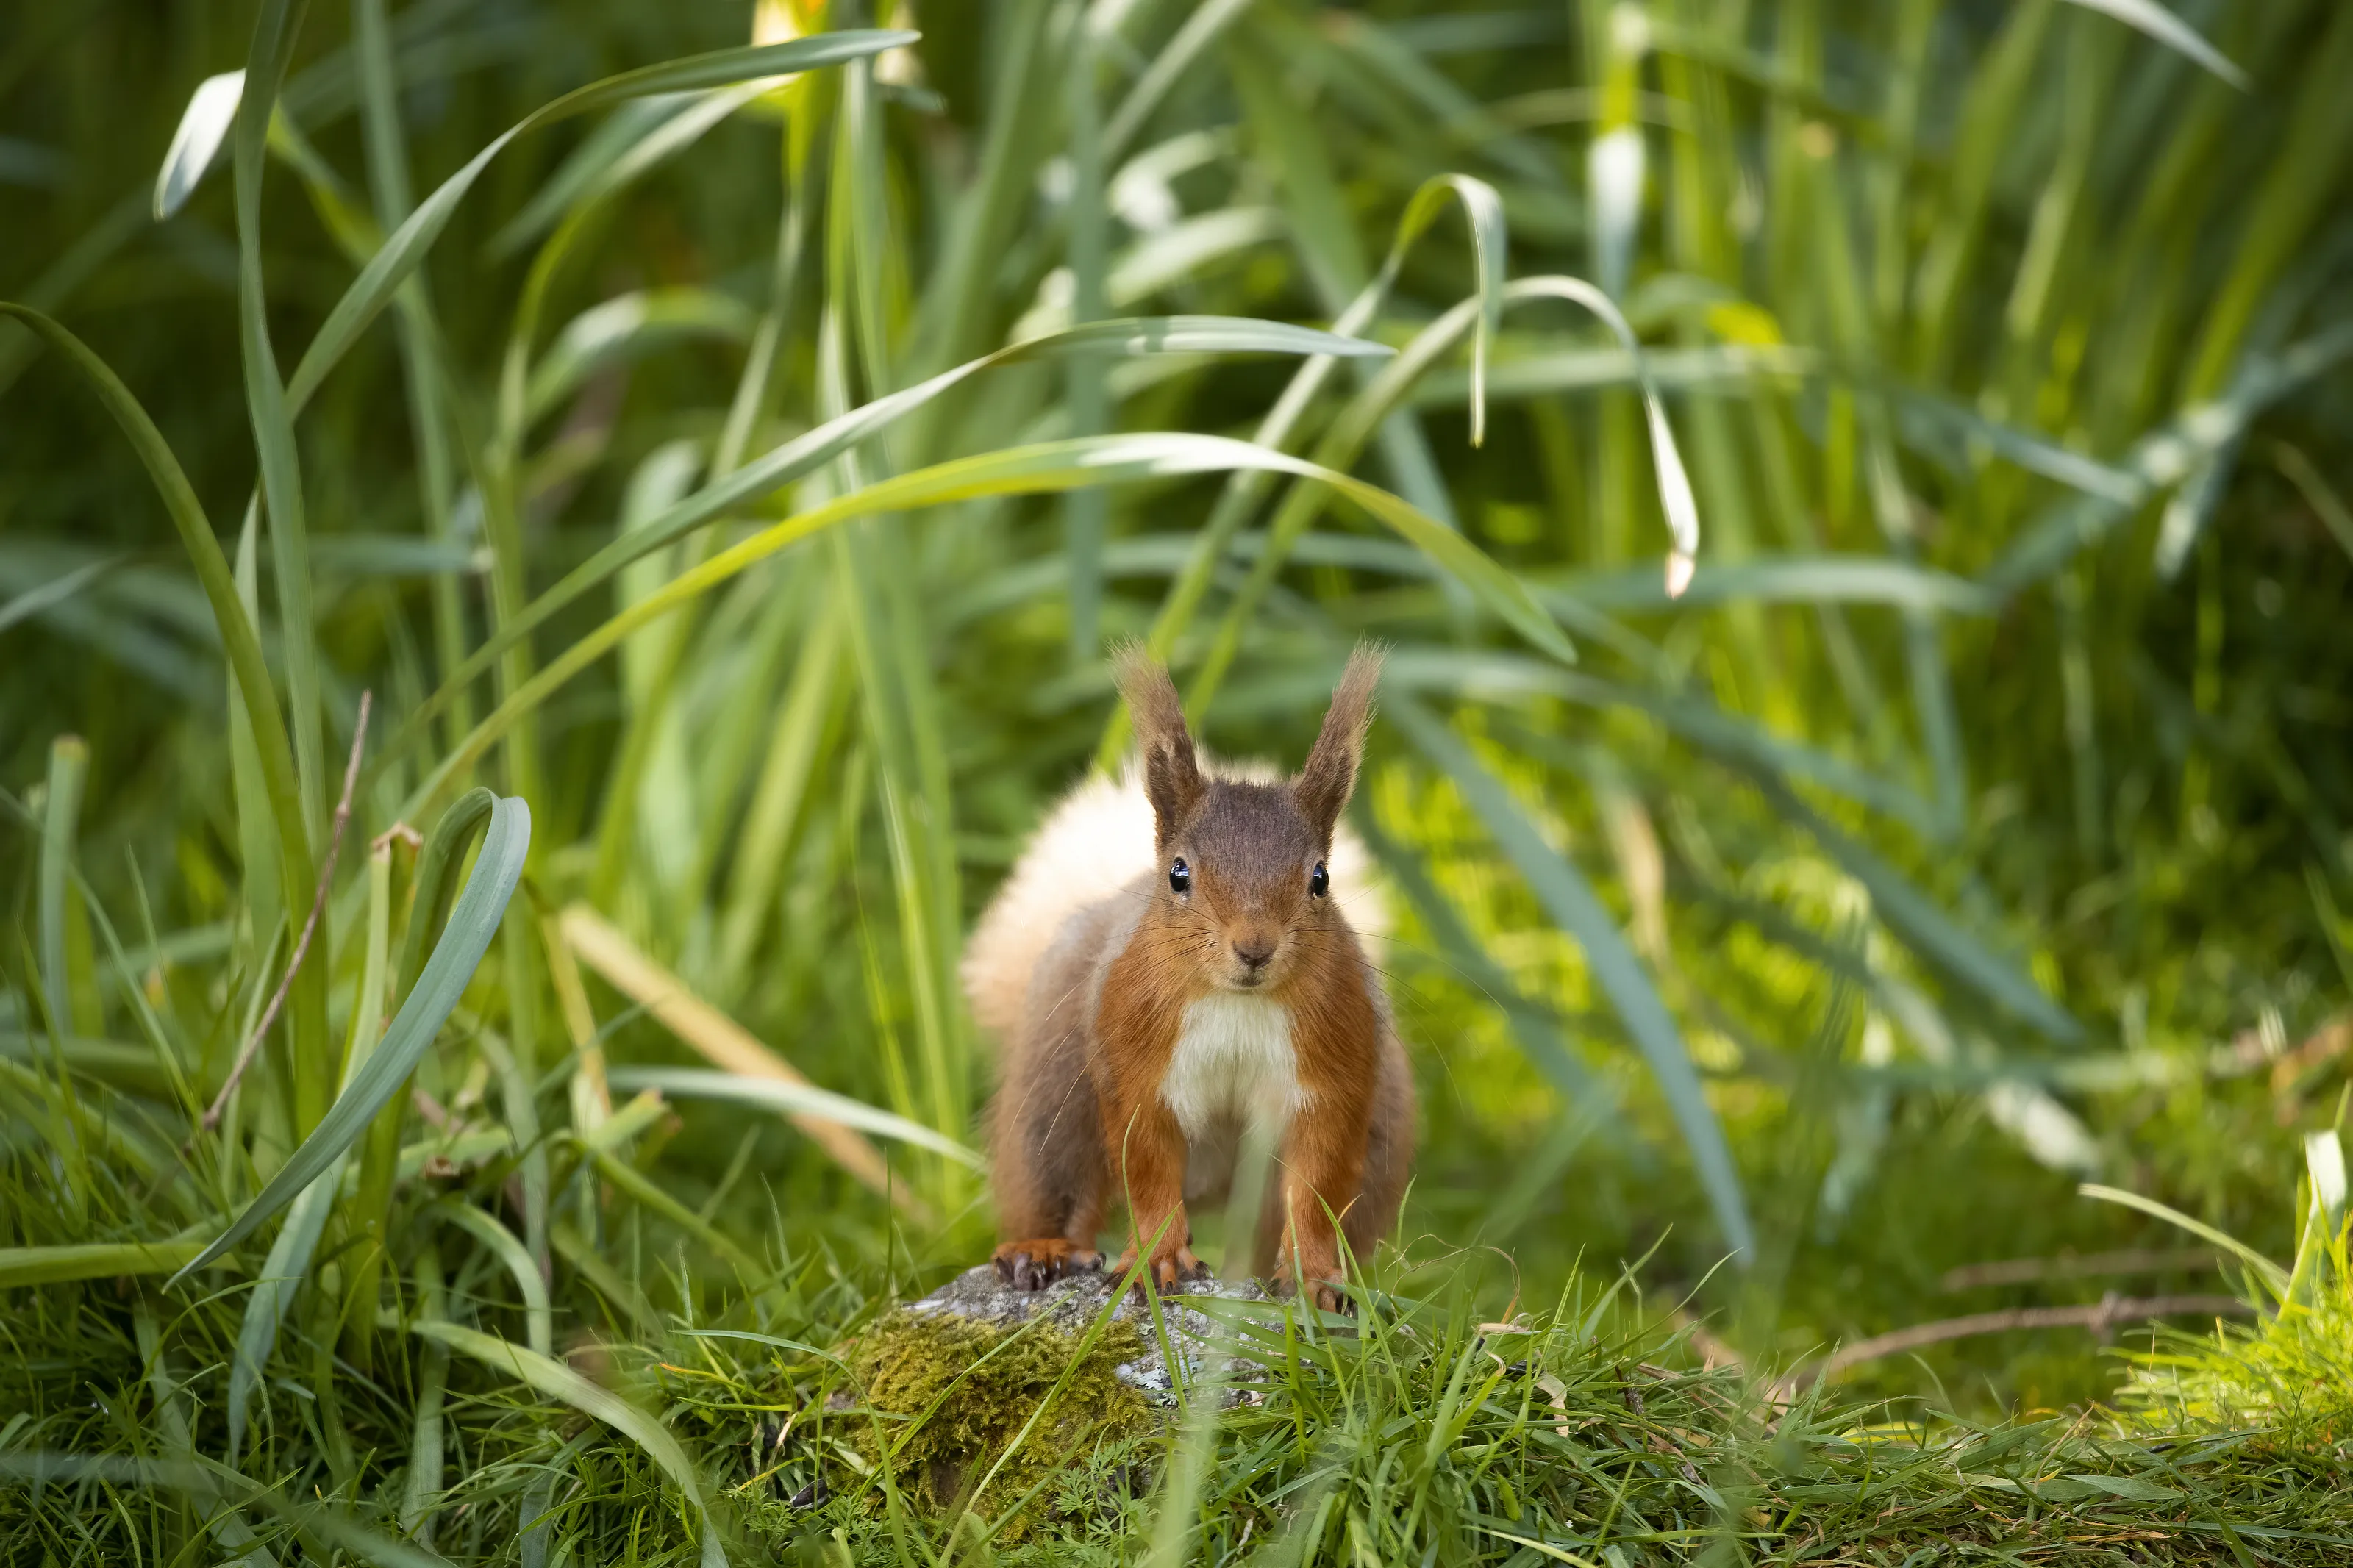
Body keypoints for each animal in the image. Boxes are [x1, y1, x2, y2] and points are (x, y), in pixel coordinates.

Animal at [960, 644, 1413, 1311]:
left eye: (1321, 878)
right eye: (1179, 874)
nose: (1254, 948)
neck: (1236, 1004)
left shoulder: (1335, 1076)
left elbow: (1317, 1186)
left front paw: (1315, 1278)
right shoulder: (1135, 1066)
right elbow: (1147, 1170)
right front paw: (1160, 1259)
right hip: (1054, 1091)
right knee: (1055, 1178)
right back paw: (1039, 1250)